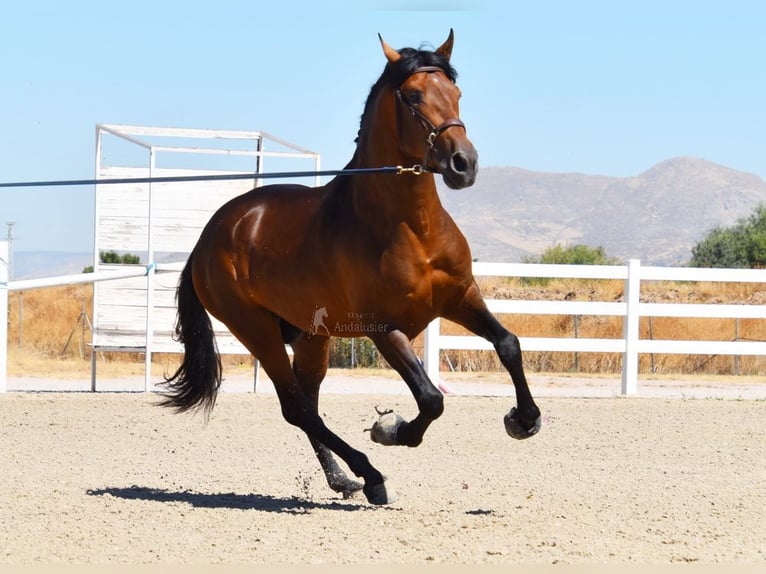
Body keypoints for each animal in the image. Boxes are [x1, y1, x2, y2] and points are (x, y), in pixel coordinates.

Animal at [161, 29, 544, 506]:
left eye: (456, 93)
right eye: (413, 96)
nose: (464, 164)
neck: (411, 228)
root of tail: (210, 235)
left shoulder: (461, 299)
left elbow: (508, 344)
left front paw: (524, 420)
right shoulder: (384, 329)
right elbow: (430, 399)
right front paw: (390, 429)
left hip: (311, 337)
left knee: (307, 405)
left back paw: (343, 479)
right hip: (256, 331)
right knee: (297, 407)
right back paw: (370, 474)